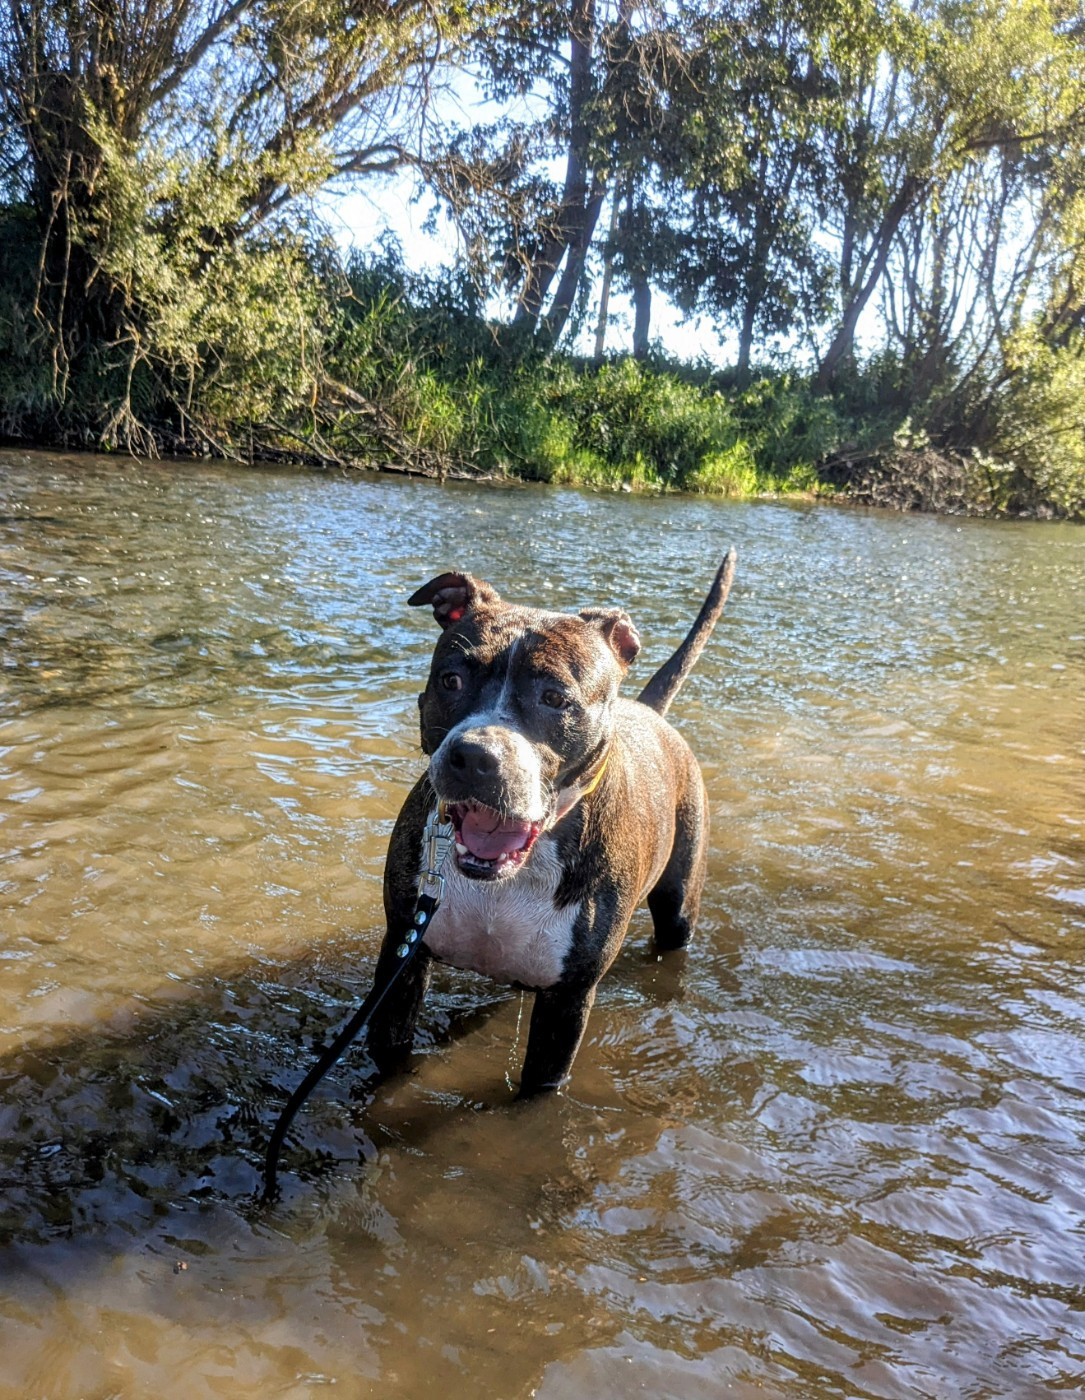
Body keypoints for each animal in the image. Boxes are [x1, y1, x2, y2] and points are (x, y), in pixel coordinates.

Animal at [366, 551, 736, 1095]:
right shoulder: (402, 956)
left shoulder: (567, 1005)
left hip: (679, 906)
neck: (508, 876)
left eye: (555, 698)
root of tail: (649, 711)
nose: (474, 756)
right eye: (451, 680)